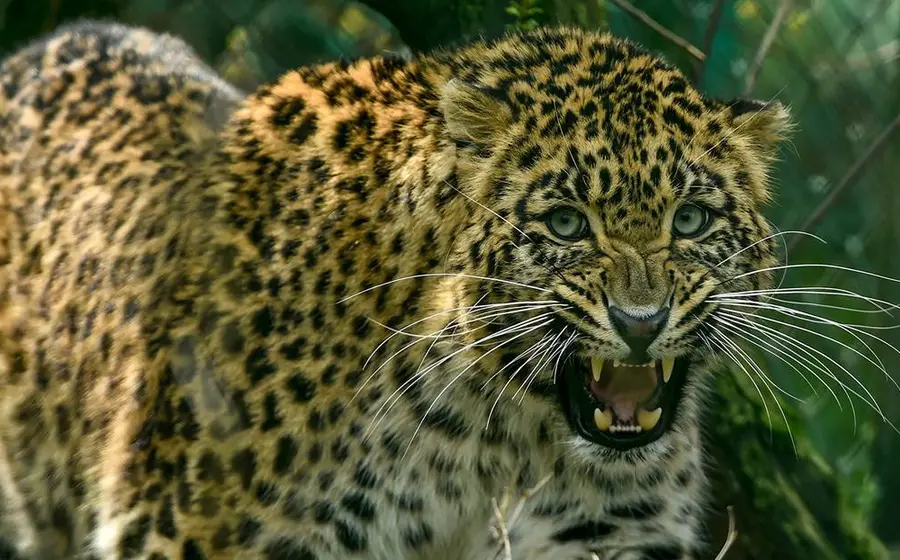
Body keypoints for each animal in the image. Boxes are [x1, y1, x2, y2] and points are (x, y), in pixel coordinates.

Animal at [0, 18, 791, 560]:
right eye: (567, 223)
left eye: (690, 219)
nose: (640, 321)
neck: (497, 434)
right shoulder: (195, 528)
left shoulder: (606, 530)